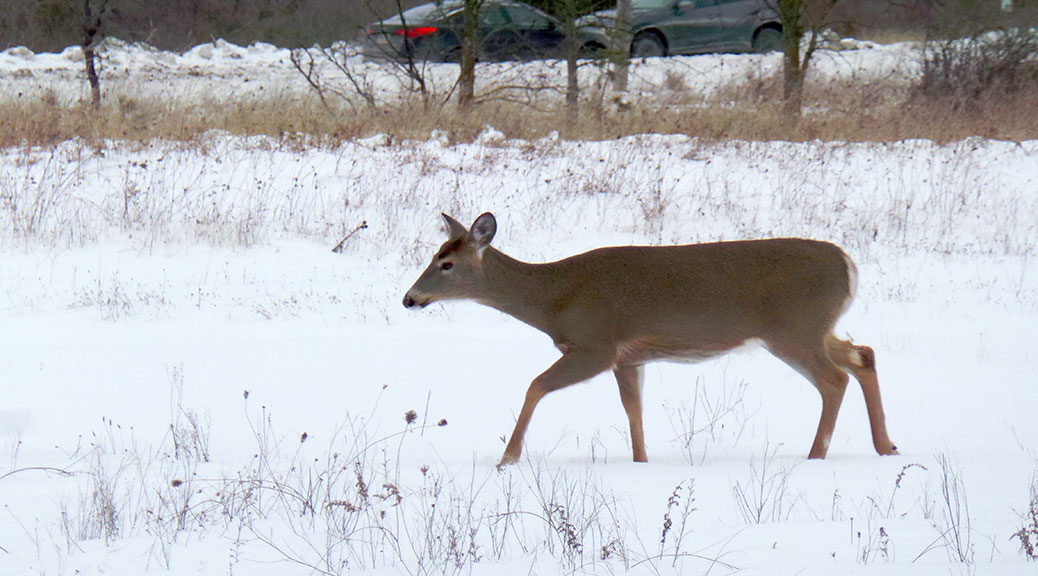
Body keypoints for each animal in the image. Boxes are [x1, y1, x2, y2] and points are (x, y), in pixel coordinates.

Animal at [403, 212, 898, 466]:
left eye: (446, 264)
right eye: (435, 256)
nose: (409, 298)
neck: (553, 301)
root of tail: (848, 265)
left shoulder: (596, 344)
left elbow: (536, 385)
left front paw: (507, 458)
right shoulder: (629, 357)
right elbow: (633, 410)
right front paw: (641, 463)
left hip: (794, 329)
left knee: (835, 379)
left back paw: (816, 456)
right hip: (813, 329)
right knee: (864, 354)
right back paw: (886, 446)